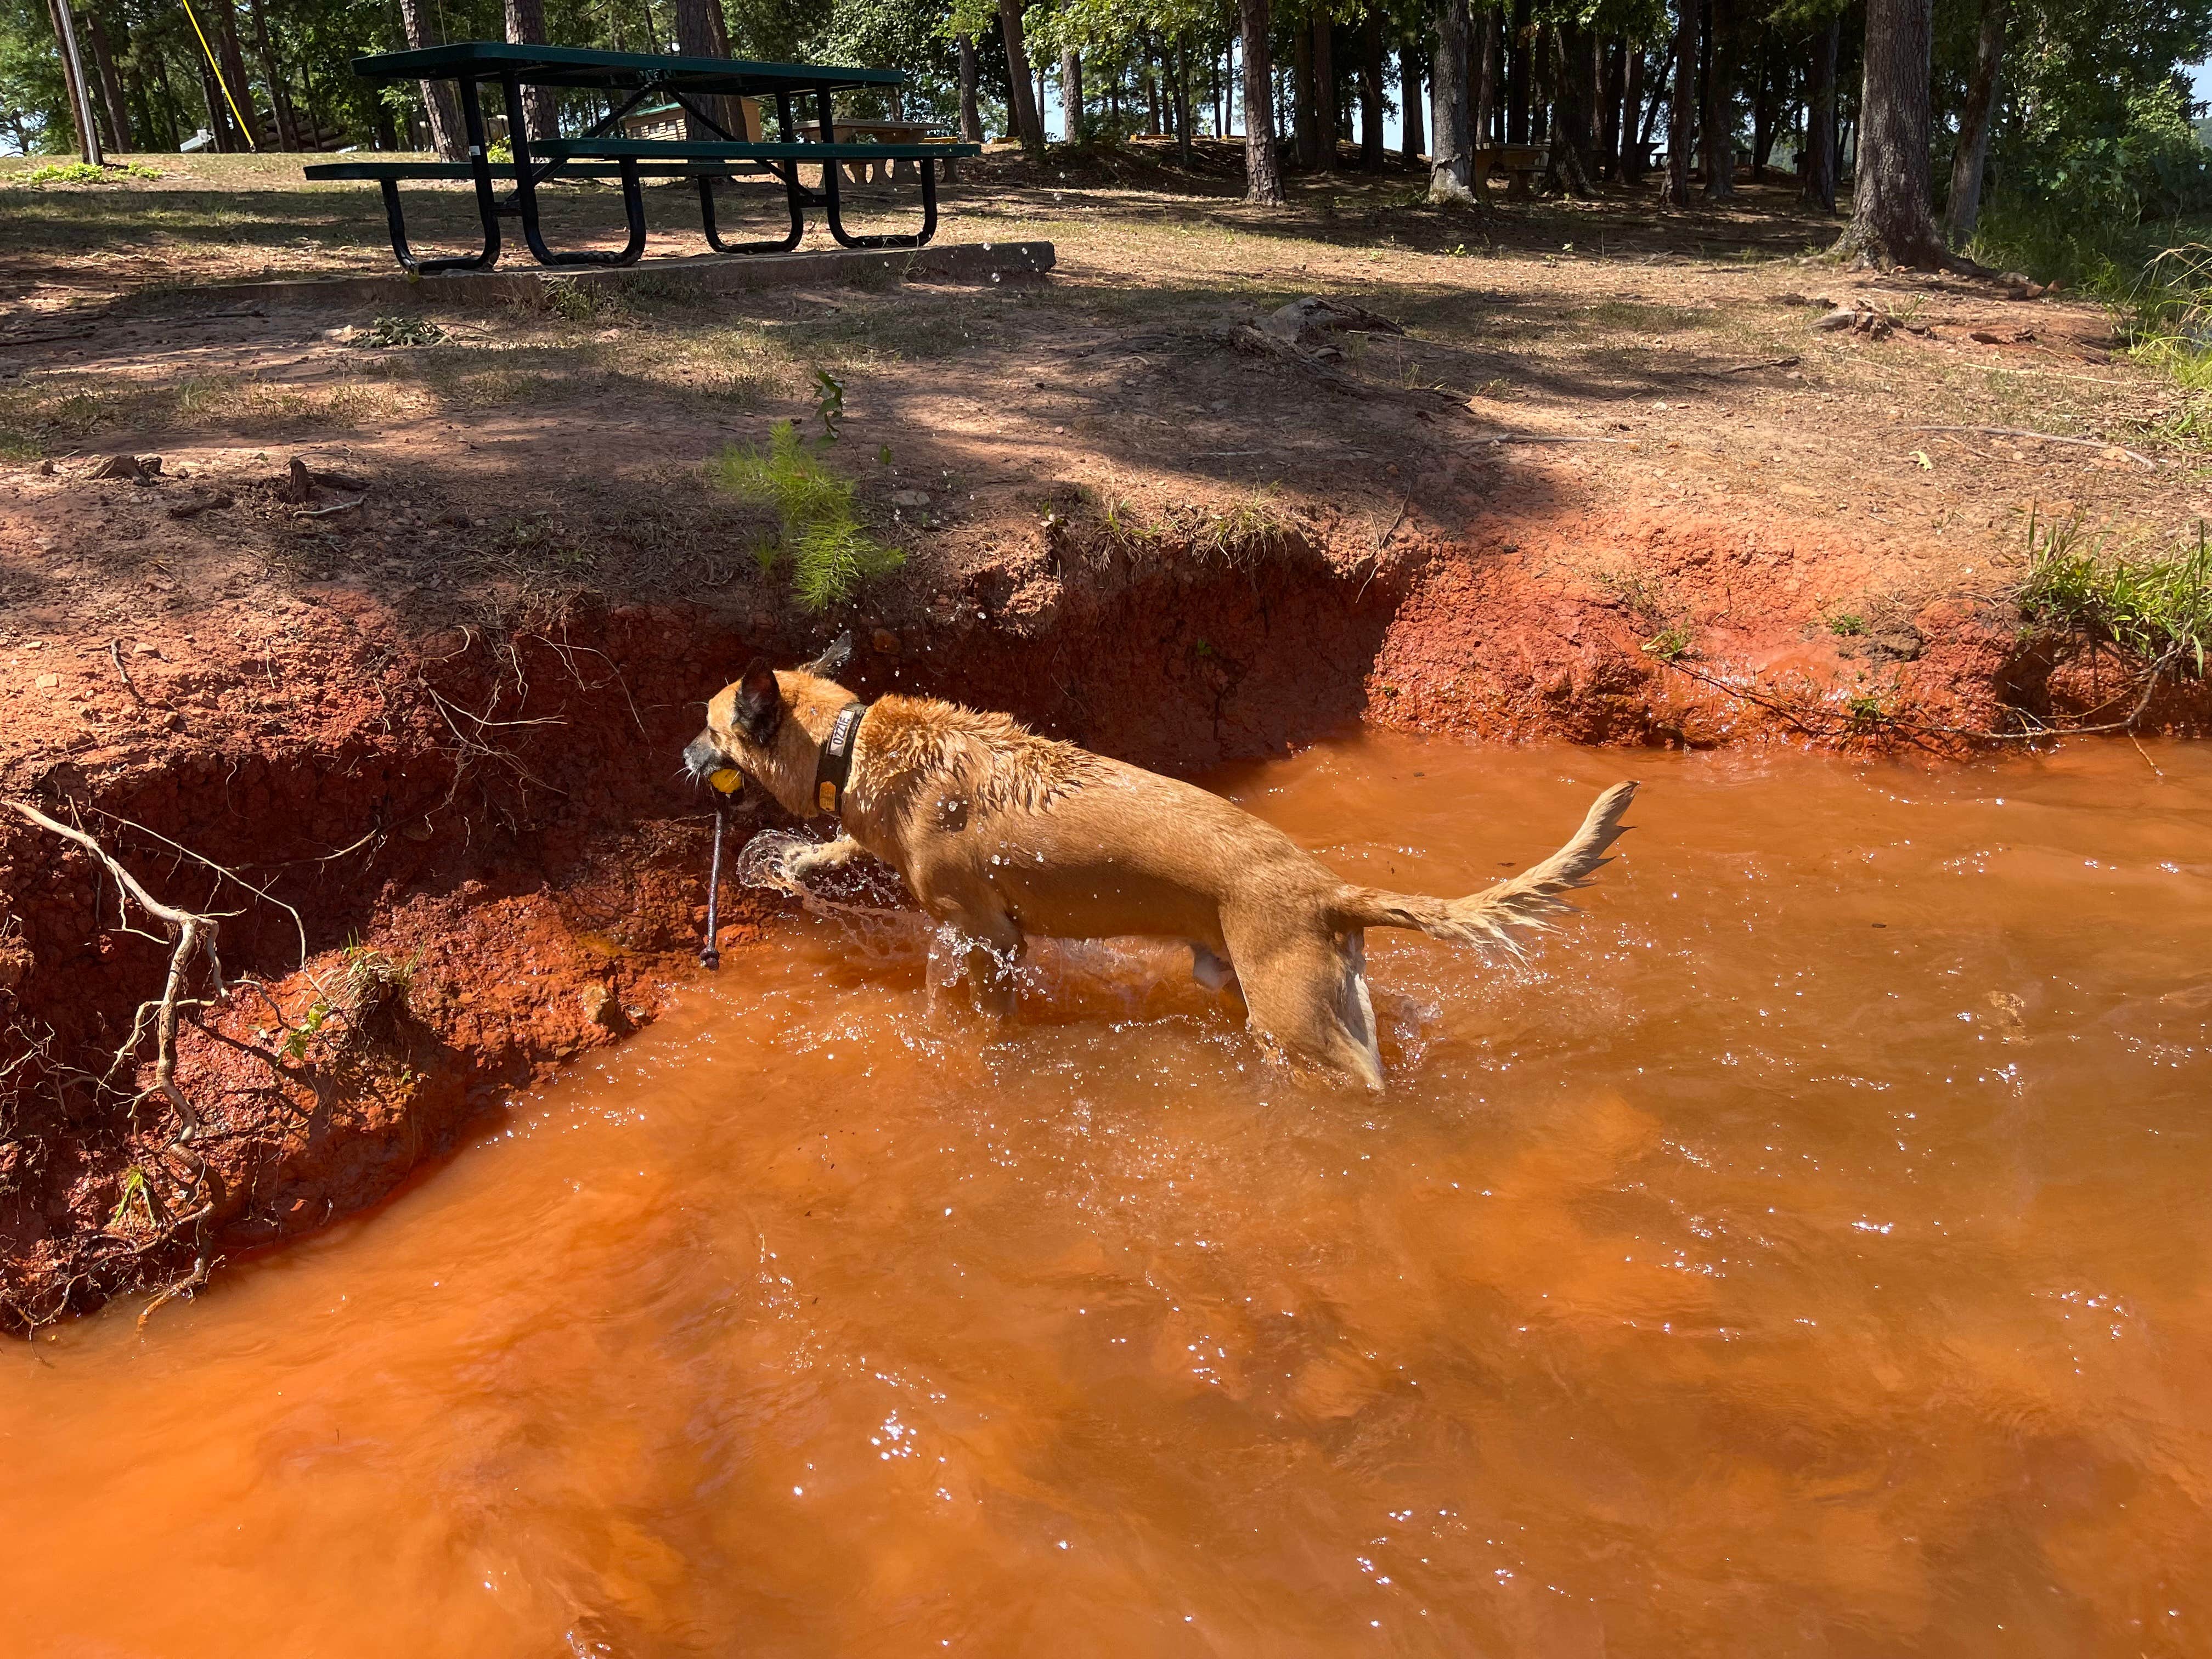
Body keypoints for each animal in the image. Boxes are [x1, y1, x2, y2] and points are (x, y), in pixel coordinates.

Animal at [681, 637, 1637, 1092]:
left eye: (709, 722)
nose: (681, 754)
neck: (850, 746)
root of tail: (1325, 892)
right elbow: (834, 846)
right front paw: (792, 862)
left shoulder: (989, 938)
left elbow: (984, 1013)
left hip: (1296, 1027)